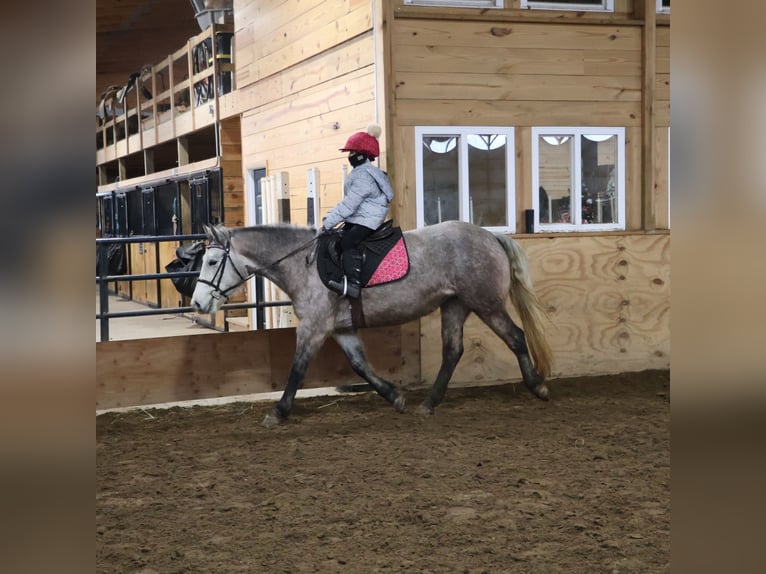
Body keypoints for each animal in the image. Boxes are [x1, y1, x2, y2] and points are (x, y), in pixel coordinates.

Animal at [191, 221, 553, 427]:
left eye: (212, 261)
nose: (197, 304)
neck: (302, 264)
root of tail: (491, 237)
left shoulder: (314, 327)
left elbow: (297, 369)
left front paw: (278, 412)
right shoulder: (340, 329)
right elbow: (360, 365)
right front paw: (394, 396)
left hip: (485, 303)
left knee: (516, 337)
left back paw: (538, 386)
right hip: (455, 305)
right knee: (453, 350)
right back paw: (428, 403)